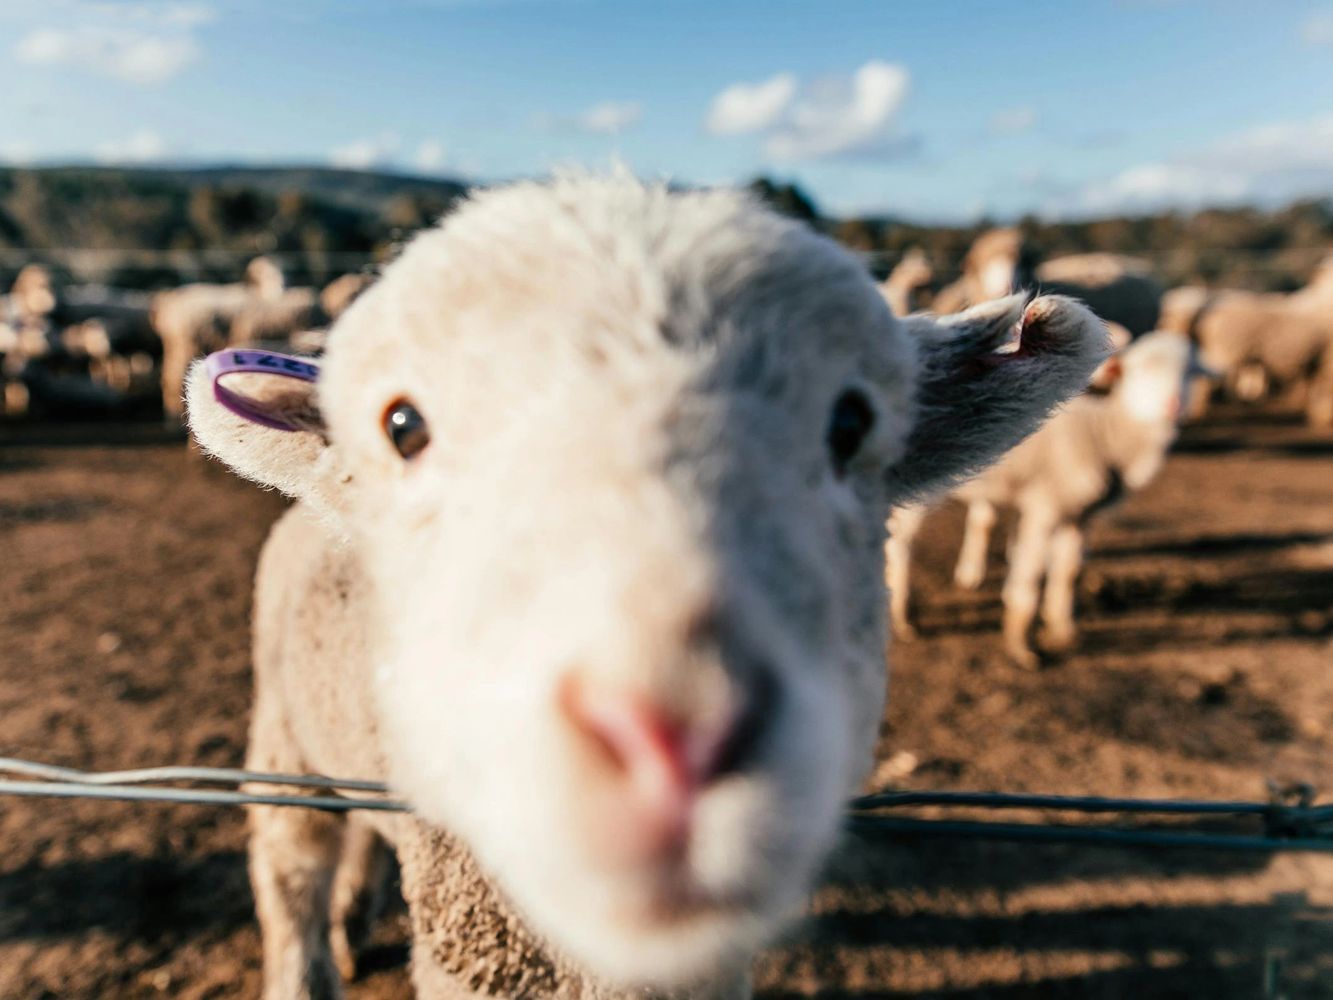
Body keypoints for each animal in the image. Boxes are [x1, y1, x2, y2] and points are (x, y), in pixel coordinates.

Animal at [890, 329, 1205, 669]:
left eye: (1190, 372)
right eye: (1140, 369)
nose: (1173, 406)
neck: (1104, 433)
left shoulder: (1079, 514)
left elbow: (1069, 572)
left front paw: (1063, 630)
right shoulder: (1045, 504)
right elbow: (1031, 576)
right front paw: (1022, 646)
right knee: (900, 544)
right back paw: (902, 616)